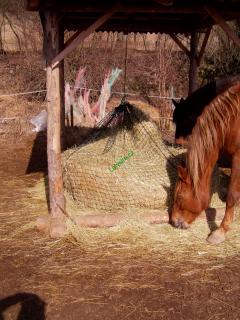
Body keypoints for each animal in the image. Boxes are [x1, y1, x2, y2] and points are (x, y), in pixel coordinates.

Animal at [171, 84, 240, 244]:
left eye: (179, 197)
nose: (173, 221)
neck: (233, 121)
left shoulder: (238, 158)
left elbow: (232, 195)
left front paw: (220, 231)